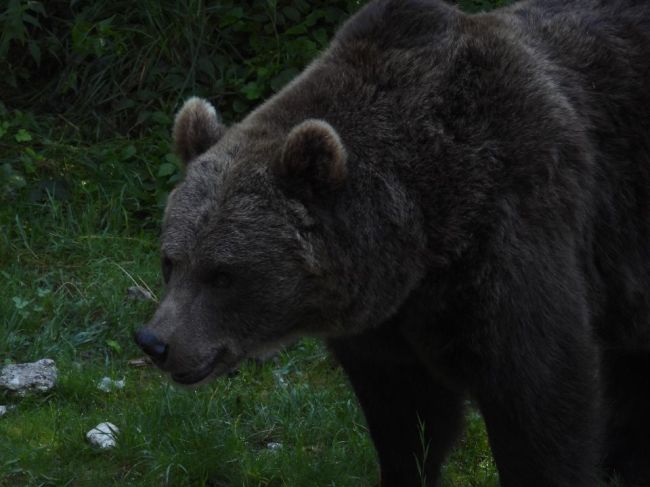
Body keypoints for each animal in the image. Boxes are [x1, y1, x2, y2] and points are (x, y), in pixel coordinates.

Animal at [133, 1, 648, 486]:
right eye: (170, 261)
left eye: (223, 274)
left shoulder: (512, 230)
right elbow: (405, 421)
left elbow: (539, 397)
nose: (156, 342)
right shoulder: (384, 328)